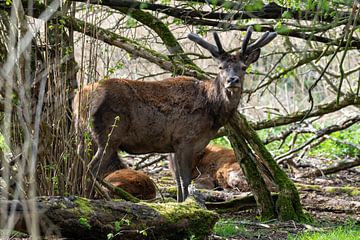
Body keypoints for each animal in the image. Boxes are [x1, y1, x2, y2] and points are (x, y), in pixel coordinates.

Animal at [72, 26, 276, 202]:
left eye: (243, 67)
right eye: (220, 68)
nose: (232, 80)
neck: (213, 112)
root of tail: (80, 98)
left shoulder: (172, 146)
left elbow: (178, 182)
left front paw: (180, 203)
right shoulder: (186, 139)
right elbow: (185, 181)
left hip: (84, 134)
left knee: (79, 162)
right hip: (109, 135)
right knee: (91, 169)